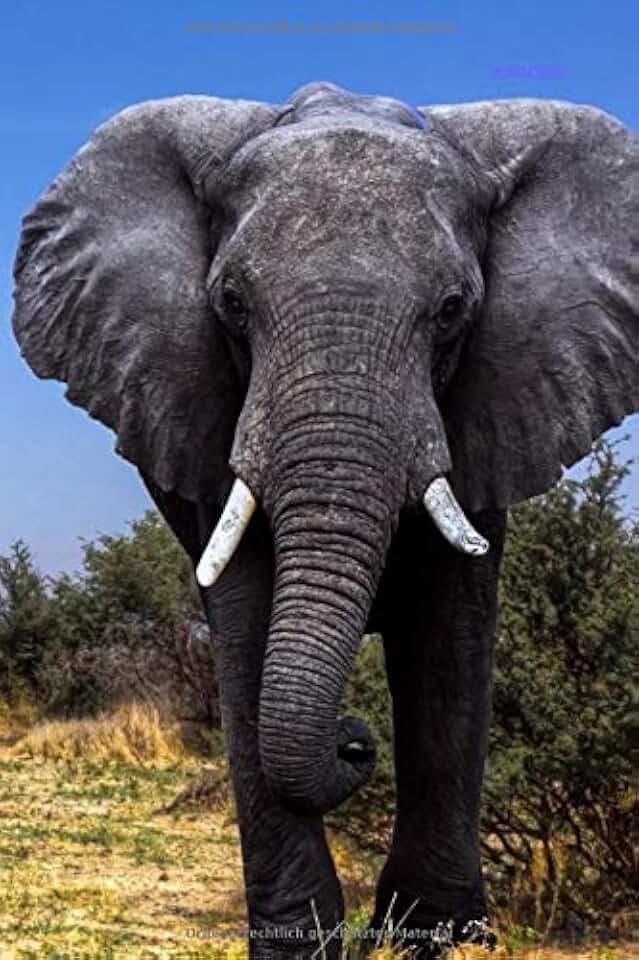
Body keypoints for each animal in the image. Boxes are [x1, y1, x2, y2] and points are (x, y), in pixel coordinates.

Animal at [11, 81, 638, 957]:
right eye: (231, 305)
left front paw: (432, 936)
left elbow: (449, 636)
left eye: (453, 309)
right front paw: (296, 944)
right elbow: (245, 629)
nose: (352, 736)